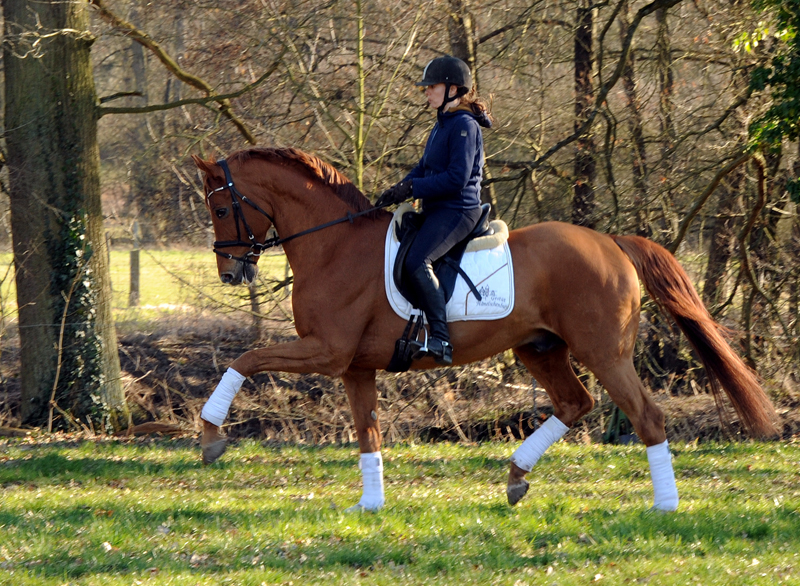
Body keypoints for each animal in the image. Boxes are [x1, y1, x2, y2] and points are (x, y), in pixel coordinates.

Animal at [191, 147, 780, 512]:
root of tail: (611, 241)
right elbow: (367, 434)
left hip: (604, 352)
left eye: (220, 208)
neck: (333, 244)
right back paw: (517, 477)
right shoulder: (355, 368)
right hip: (540, 349)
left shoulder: (326, 352)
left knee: (646, 417)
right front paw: (370, 504)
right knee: (576, 403)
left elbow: (244, 361)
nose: (229, 272)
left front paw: (212, 437)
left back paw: (664, 505)